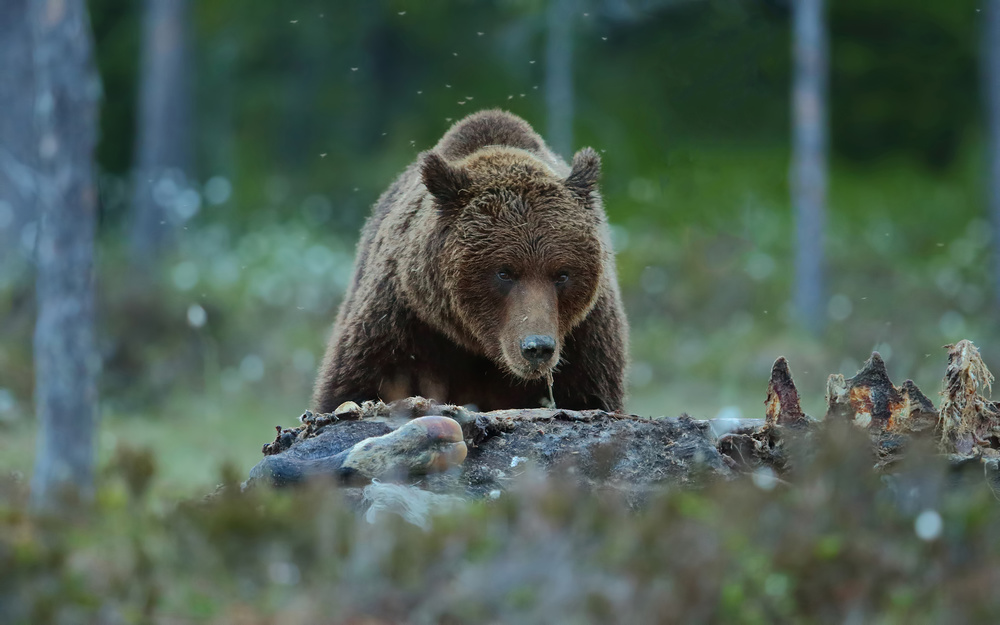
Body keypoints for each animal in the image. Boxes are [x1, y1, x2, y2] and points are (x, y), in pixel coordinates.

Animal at [313, 109, 629, 413]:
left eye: (562, 274)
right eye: (504, 272)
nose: (537, 347)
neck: (480, 346)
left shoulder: (587, 336)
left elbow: (590, 394)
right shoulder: (400, 318)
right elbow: (354, 384)